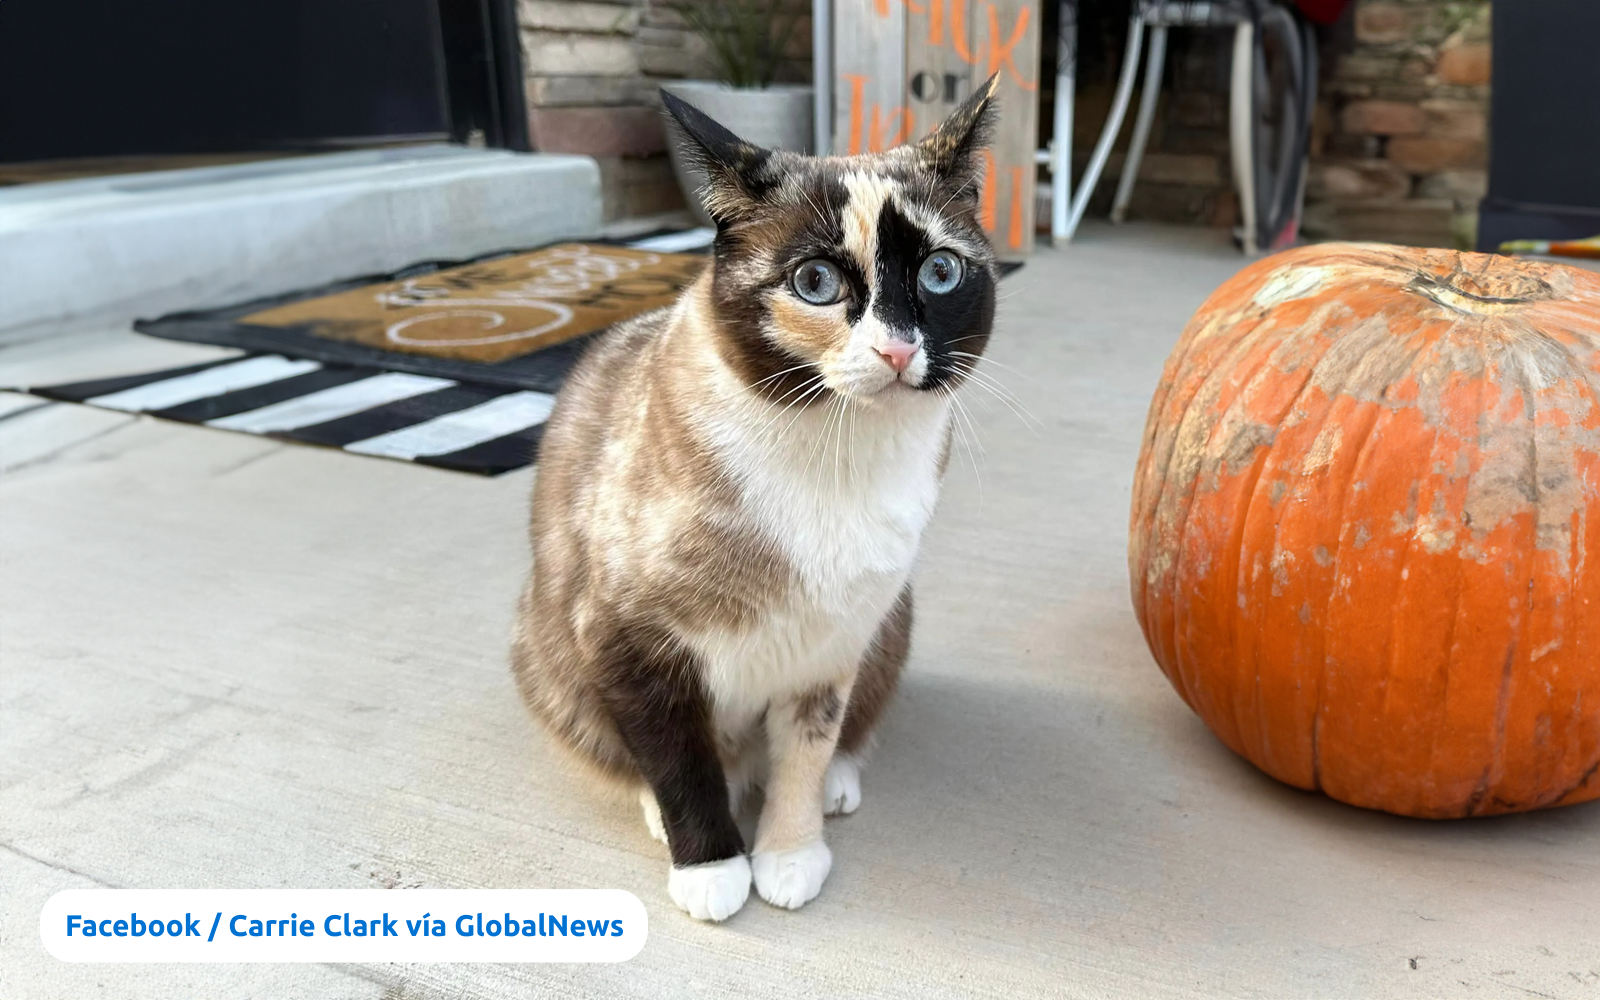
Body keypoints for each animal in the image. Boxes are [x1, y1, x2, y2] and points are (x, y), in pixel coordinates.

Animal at [508, 76, 998, 921]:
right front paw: (712, 869)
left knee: (841, 737)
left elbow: (805, 753)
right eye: (816, 283)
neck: (838, 456)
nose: (897, 349)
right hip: (548, 655)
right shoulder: (630, 642)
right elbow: (679, 760)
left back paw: (836, 785)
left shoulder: (830, 649)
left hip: (893, 621)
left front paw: (790, 857)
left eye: (940, 272)